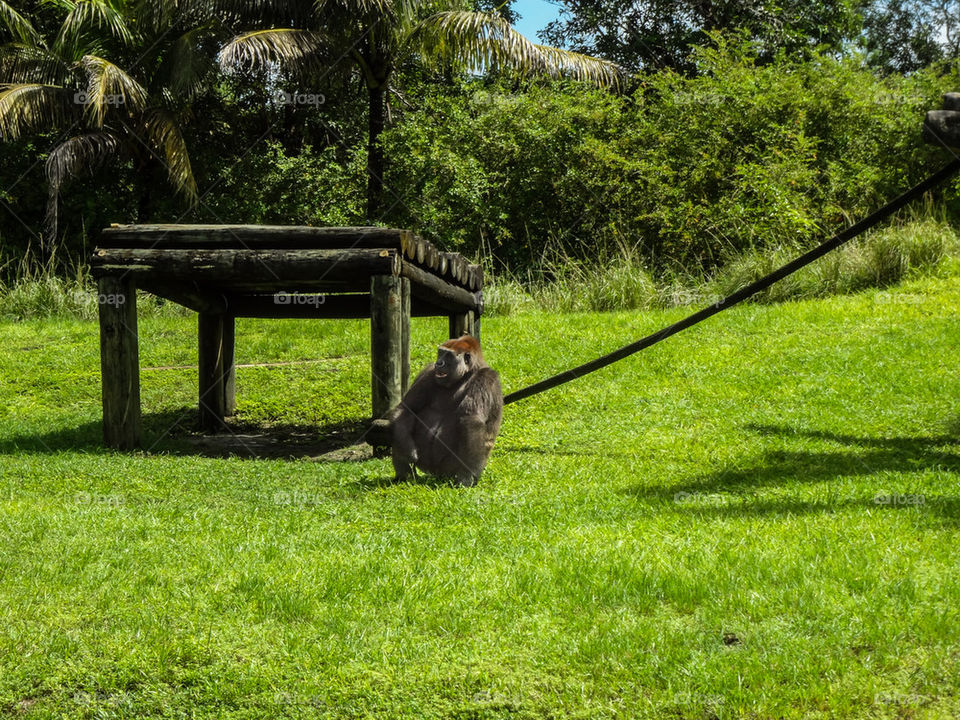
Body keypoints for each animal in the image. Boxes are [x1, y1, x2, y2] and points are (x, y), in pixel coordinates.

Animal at [390, 335, 503, 487]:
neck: (467, 373)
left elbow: (472, 420)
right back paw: (404, 476)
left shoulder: (486, 377)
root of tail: (434, 474)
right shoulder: (429, 371)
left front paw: (467, 475)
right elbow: (407, 409)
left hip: (447, 471)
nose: (438, 363)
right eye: (440, 353)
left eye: (448, 355)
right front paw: (406, 450)